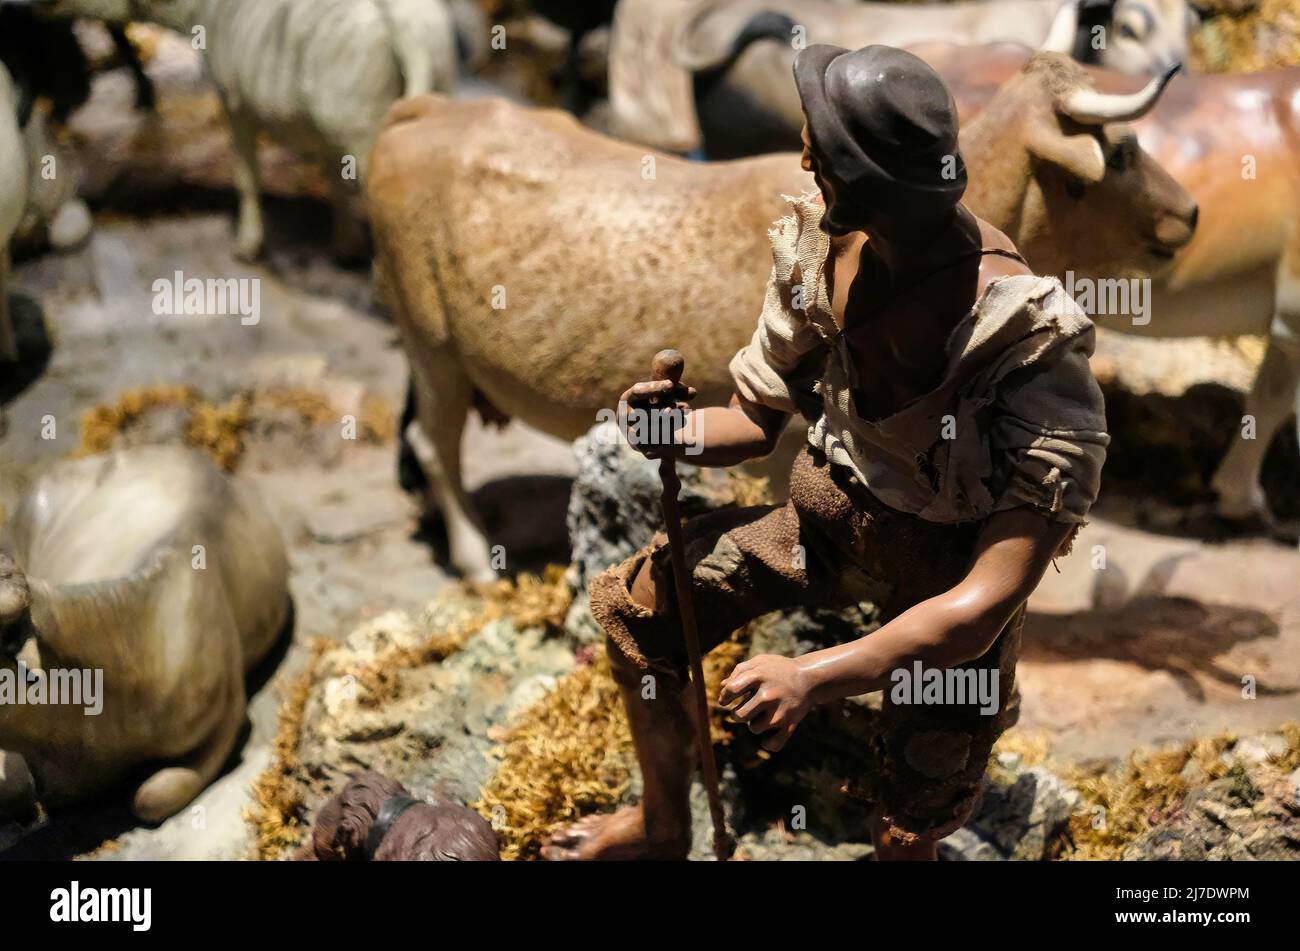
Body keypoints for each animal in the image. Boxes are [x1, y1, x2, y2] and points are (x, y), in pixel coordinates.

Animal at [371, 53, 1190, 579]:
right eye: (1121, 151)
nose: (1189, 212)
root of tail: (431, 107)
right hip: (431, 343)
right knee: (433, 443)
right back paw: (477, 561)